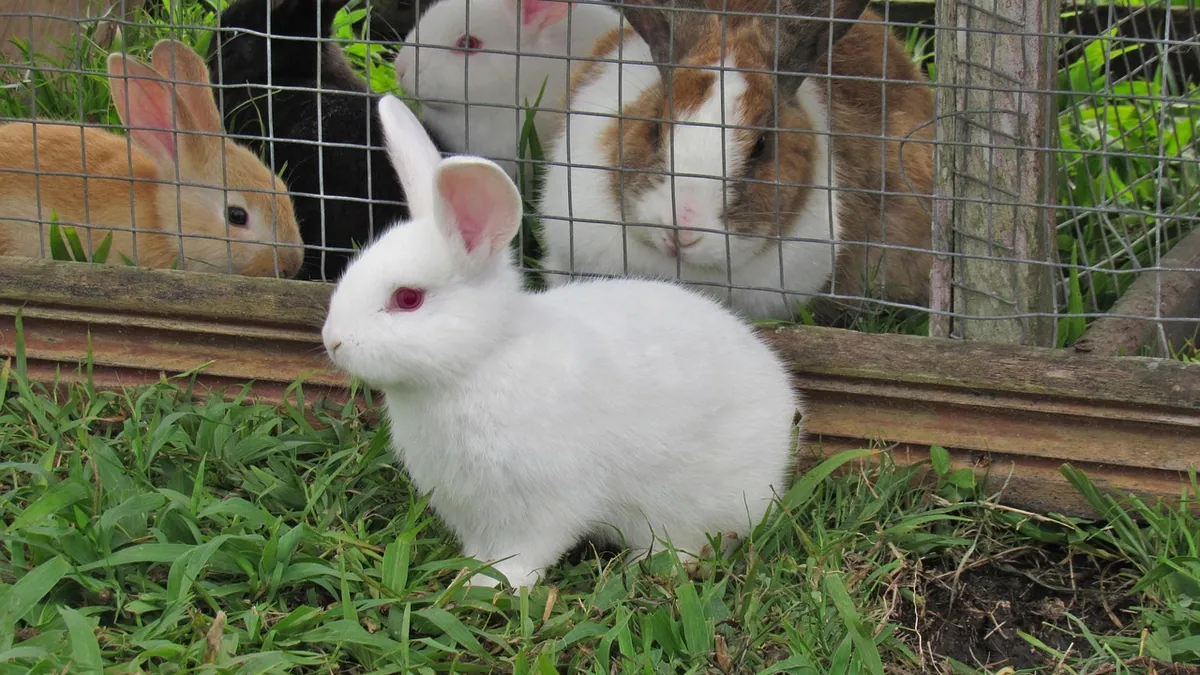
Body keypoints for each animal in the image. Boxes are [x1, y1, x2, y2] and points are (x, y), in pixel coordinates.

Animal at [321, 93, 801, 590]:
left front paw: (492, 586)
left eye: (407, 299)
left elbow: (526, 552)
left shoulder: (542, 504)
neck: (482, 360)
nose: (332, 341)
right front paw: (468, 573)